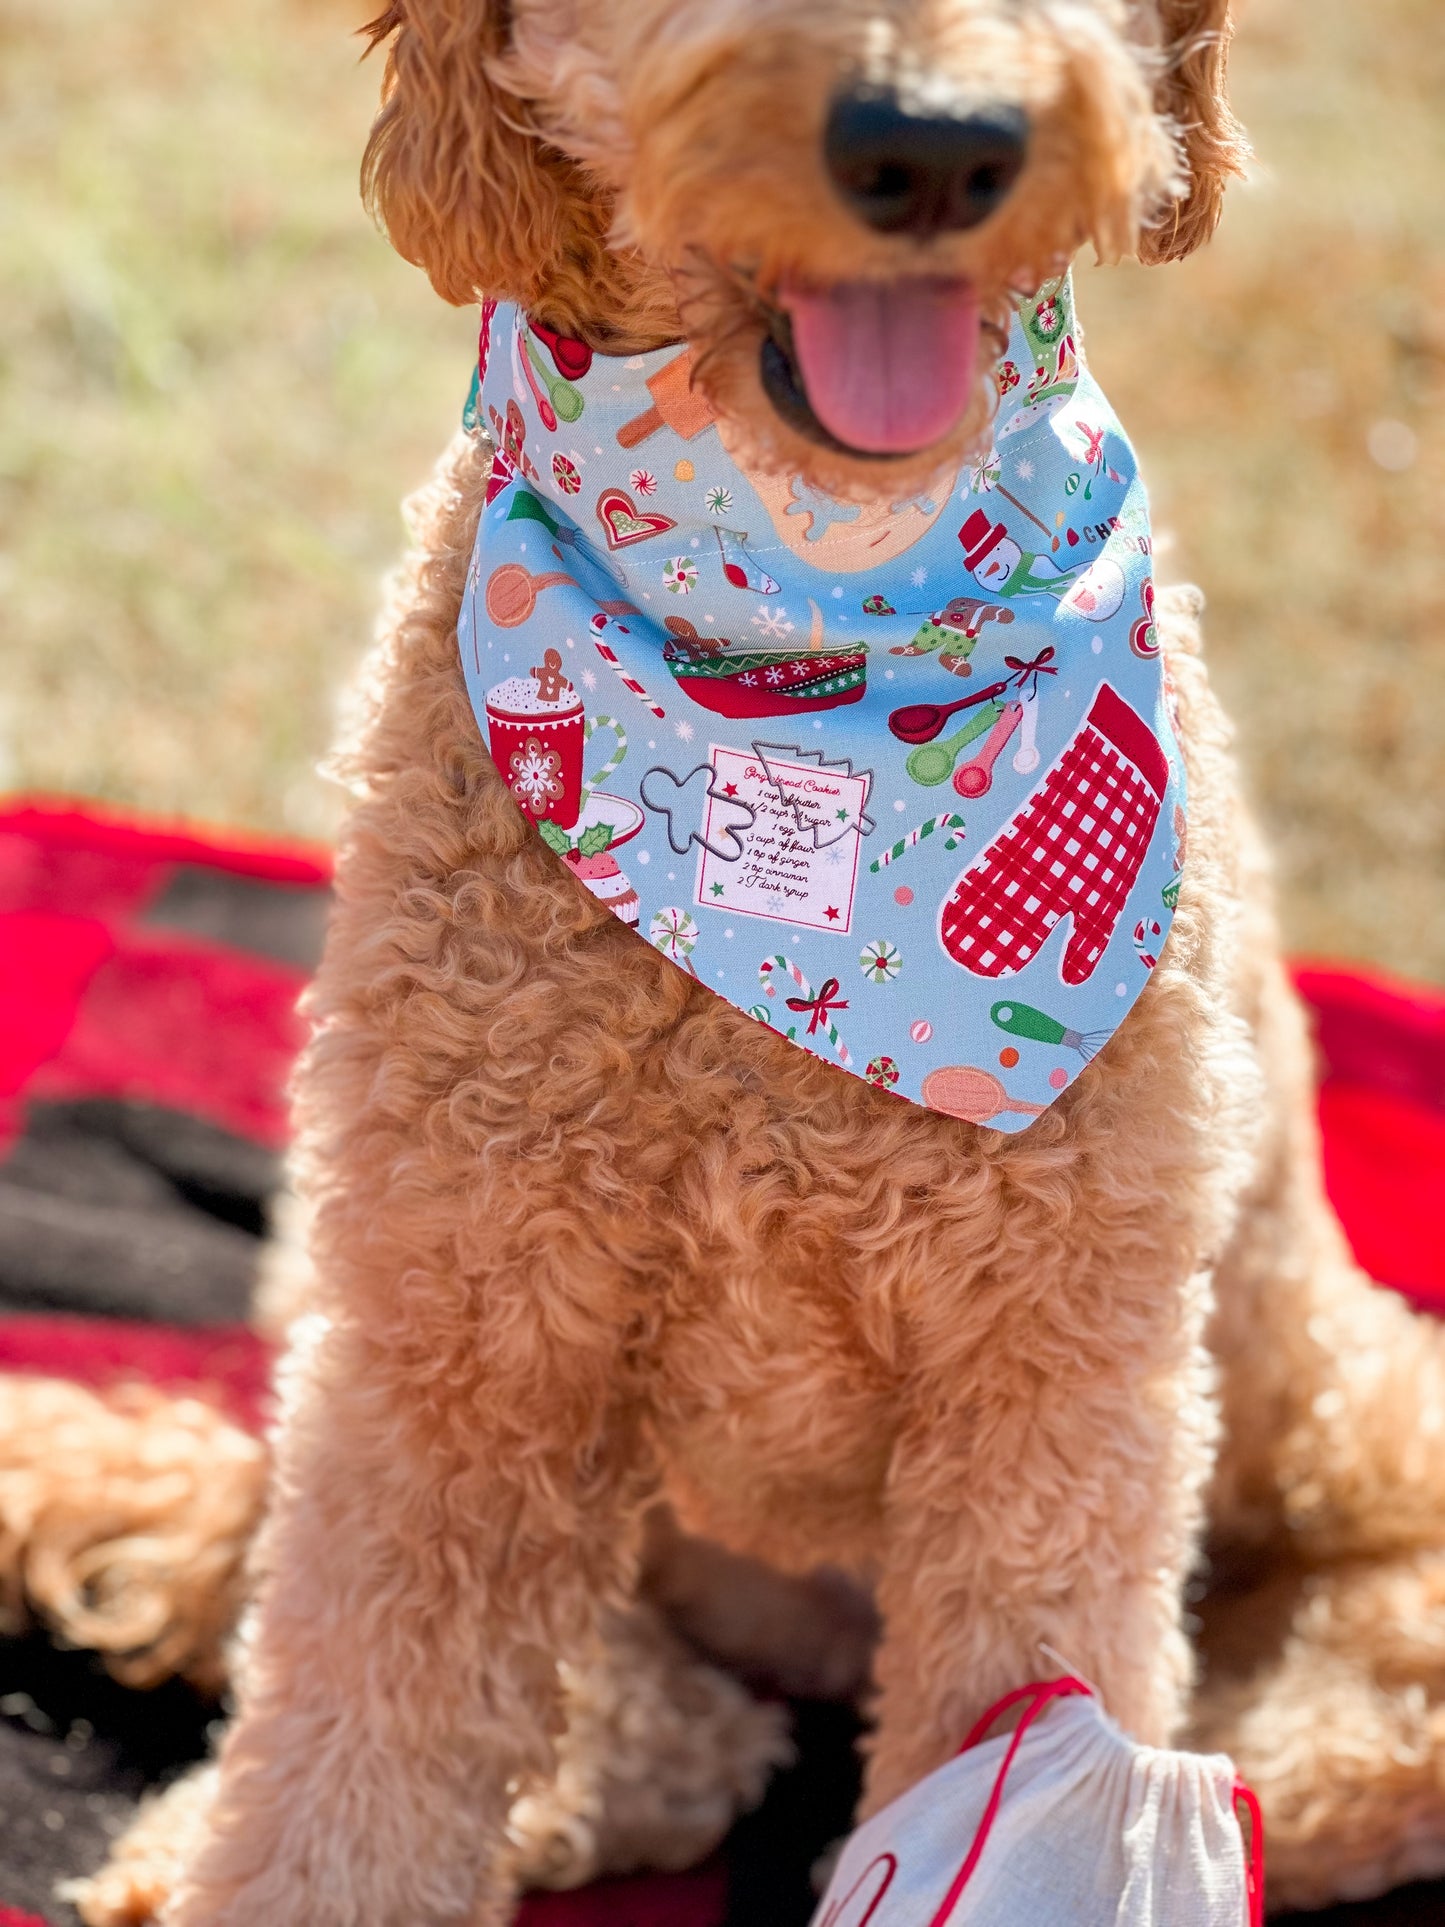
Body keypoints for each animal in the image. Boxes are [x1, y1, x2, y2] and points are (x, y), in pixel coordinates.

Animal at [8, 0, 1445, 1919]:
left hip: (1314, 1395)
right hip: (348, 1267)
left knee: (1365, 1692)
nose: (934, 145)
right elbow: (347, 1767)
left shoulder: (1056, 1383)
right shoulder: (462, 1333)